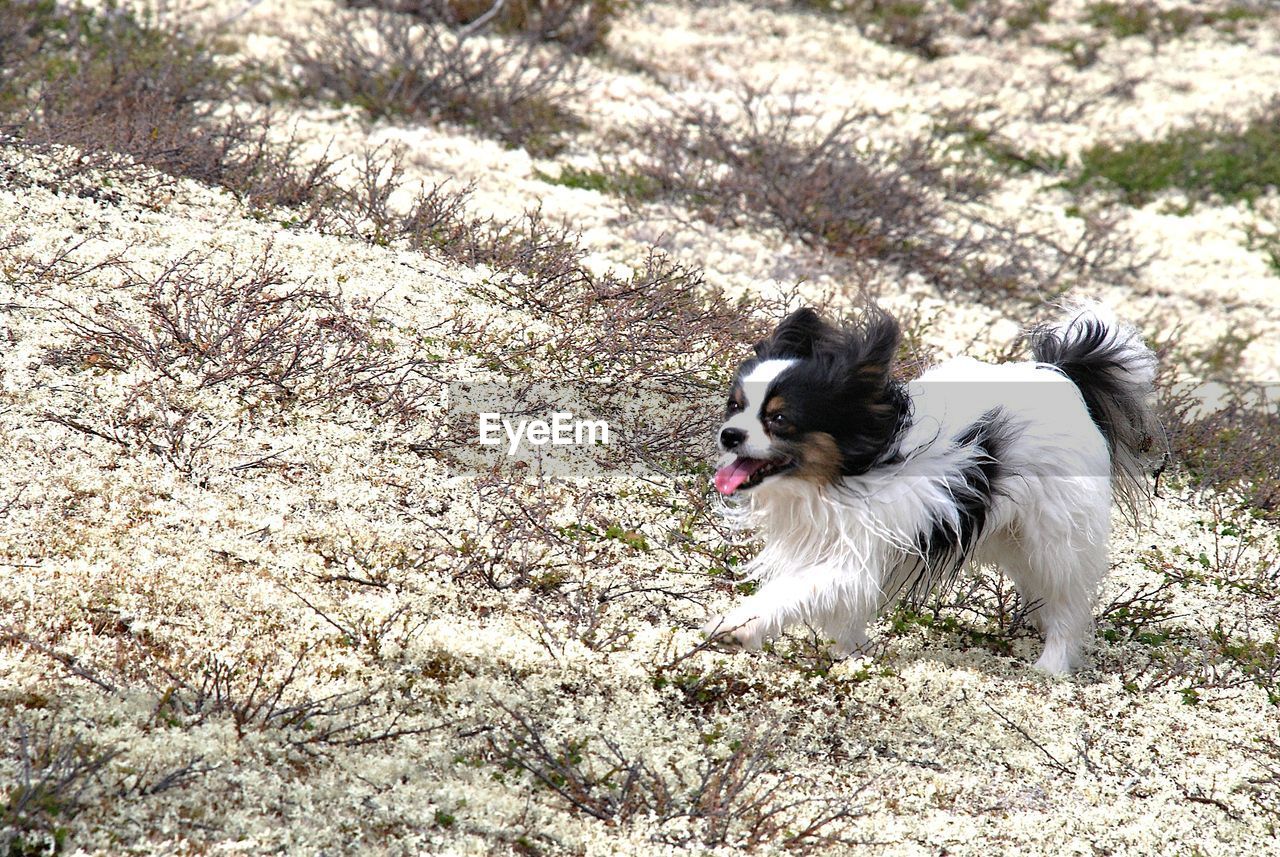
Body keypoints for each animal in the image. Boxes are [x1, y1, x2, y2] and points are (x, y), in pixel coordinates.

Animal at [701, 305, 1162, 675]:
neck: (843, 474)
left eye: (779, 420)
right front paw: (853, 653)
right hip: (1015, 540)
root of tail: (1062, 373)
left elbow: (793, 590)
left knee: (1069, 603)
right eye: (735, 406)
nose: (728, 435)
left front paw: (737, 626)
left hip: (1056, 540)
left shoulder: (855, 560)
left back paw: (1051, 667)